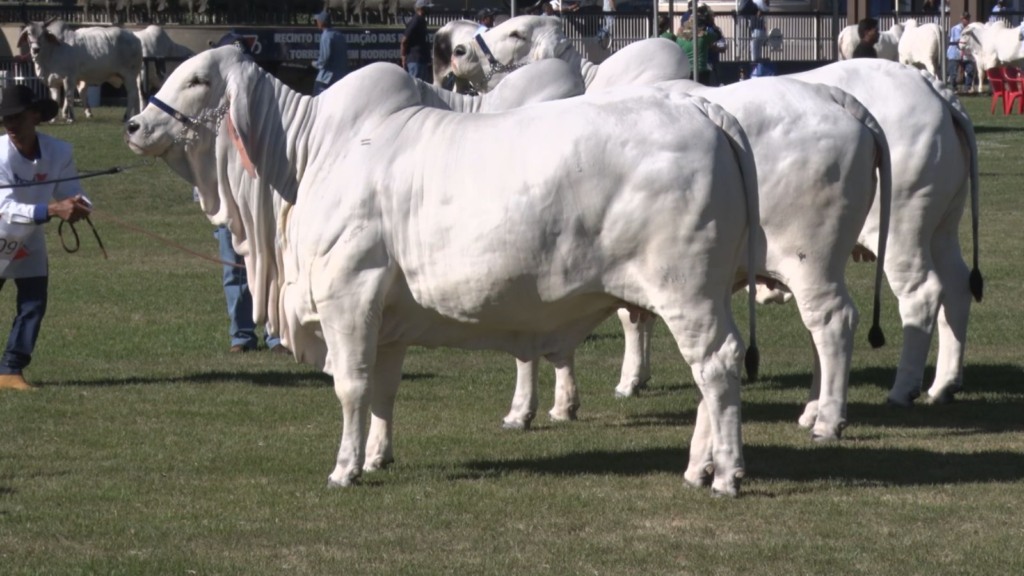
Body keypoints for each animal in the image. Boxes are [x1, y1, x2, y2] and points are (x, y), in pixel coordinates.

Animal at [16, 19, 144, 121]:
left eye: (43, 34)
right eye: (28, 33)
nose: (35, 49)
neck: (51, 52)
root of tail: (135, 38)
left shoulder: (69, 78)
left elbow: (69, 96)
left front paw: (70, 118)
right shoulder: (53, 81)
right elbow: (55, 99)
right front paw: (53, 119)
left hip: (129, 75)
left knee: (132, 93)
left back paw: (126, 116)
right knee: (137, 94)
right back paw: (135, 115)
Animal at [125, 45, 761, 494]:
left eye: (197, 79)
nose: (133, 125)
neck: (311, 156)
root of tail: (702, 106)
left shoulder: (347, 293)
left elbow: (350, 385)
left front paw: (343, 468)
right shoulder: (384, 316)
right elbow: (383, 388)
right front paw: (376, 457)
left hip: (687, 293)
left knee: (716, 365)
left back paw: (726, 474)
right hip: (707, 294)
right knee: (714, 370)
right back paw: (699, 467)